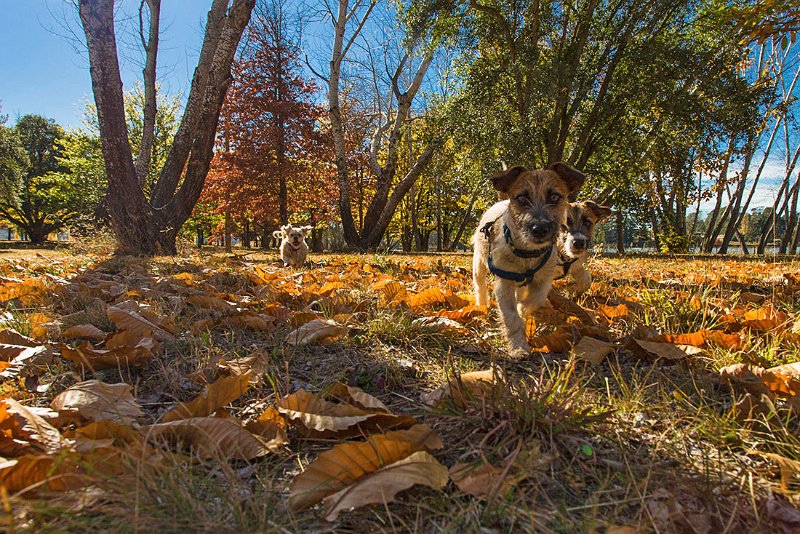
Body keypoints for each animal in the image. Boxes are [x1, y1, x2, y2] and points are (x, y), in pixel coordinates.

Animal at [472, 162, 584, 356]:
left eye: (554, 196)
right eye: (522, 198)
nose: (539, 229)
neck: (528, 253)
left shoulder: (543, 280)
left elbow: (534, 300)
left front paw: (522, 310)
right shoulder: (504, 283)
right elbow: (511, 316)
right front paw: (518, 348)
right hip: (479, 263)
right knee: (480, 287)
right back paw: (481, 306)